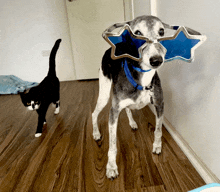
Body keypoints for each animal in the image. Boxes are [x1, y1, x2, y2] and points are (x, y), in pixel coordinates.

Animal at [92, 15, 169, 180]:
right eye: (137, 33)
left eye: (161, 31)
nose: (156, 60)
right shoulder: (113, 111)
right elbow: (112, 144)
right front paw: (111, 167)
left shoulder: (159, 104)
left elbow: (158, 129)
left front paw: (157, 146)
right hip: (104, 94)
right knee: (94, 113)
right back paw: (96, 133)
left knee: (128, 109)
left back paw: (132, 123)